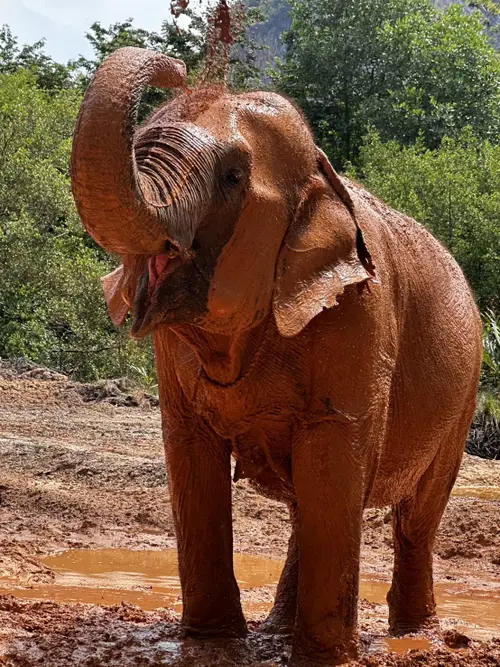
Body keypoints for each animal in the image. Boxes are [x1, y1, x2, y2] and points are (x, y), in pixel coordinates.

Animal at [71, 47, 482, 666]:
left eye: (233, 177)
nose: (177, 68)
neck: (319, 175)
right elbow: (191, 454)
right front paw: (212, 643)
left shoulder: (360, 313)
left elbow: (335, 453)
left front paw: (322, 659)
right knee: (304, 510)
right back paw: (276, 633)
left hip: (464, 395)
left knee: (417, 515)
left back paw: (416, 635)